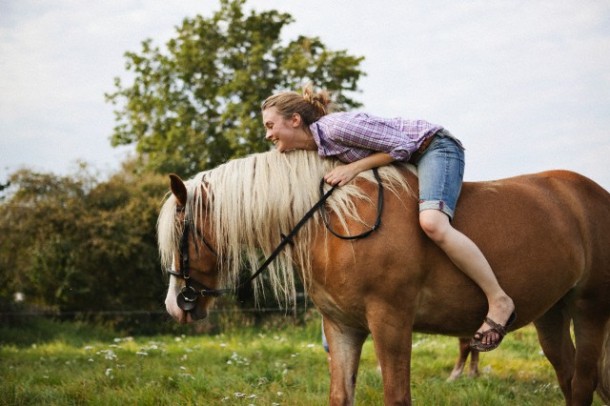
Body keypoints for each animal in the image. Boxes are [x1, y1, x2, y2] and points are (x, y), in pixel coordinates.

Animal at [158, 150, 608, 406]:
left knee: (583, 381)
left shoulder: (390, 322)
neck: (335, 219)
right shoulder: (342, 327)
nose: (175, 305)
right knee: (570, 379)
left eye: (181, 234)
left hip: (589, 309)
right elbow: (341, 395)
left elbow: (397, 396)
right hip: (552, 314)